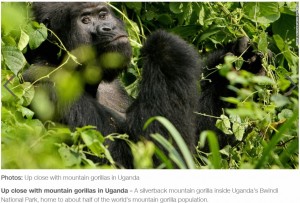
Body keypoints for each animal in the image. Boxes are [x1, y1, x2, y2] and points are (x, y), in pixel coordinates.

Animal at [23, 1, 262, 168]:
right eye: (85, 20)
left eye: (102, 14)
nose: (108, 28)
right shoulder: (47, 84)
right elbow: (139, 156)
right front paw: (165, 47)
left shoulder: (114, 86)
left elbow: (202, 146)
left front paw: (237, 65)